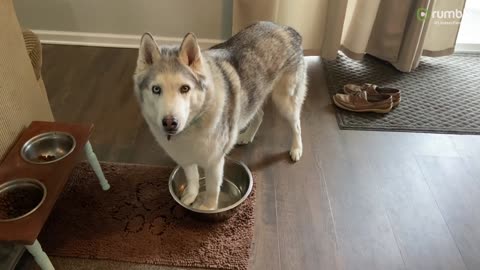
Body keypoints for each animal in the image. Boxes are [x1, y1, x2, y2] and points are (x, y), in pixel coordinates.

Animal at [132, 21, 308, 211]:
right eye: (156, 89)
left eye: (185, 88)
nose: (170, 123)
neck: (192, 125)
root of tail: (287, 28)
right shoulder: (185, 157)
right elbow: (192, 178)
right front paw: (190, 196)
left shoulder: (214, 161)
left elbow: (212, 189)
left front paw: (208, 208)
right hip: (254, 98)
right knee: (259, 114)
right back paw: (247, 135)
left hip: (285, 101)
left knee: (297, 125)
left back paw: (296, 149)